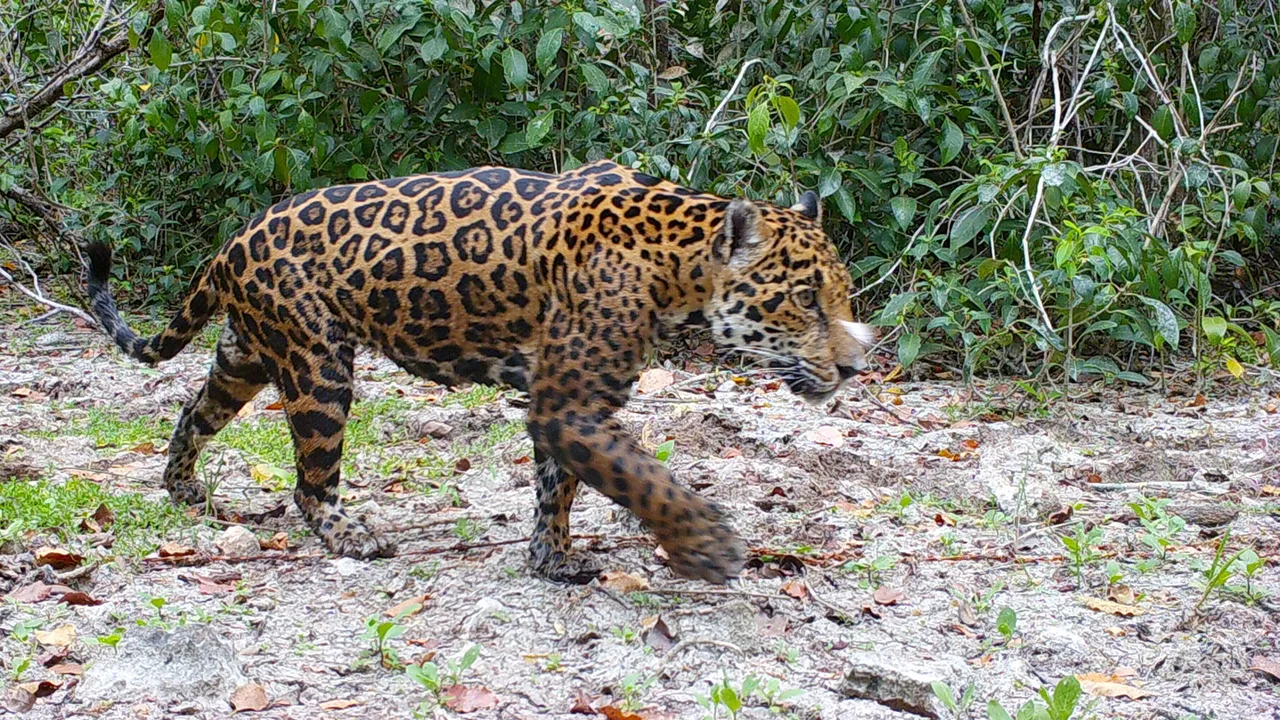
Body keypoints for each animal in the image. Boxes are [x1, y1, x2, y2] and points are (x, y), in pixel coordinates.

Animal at [84, 159, 876, 584]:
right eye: (806, 299)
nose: (854, 365)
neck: (677, 263)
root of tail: (233, 241)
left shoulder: (566, 401)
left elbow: (560, 485)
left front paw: (551, 559)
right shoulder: (568, 405)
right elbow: (643, 477)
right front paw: (705, 547)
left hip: (247, 354)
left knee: (192, 411)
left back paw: (182, 487)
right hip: (317, 363)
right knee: (309, 483)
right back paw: (351, 535)